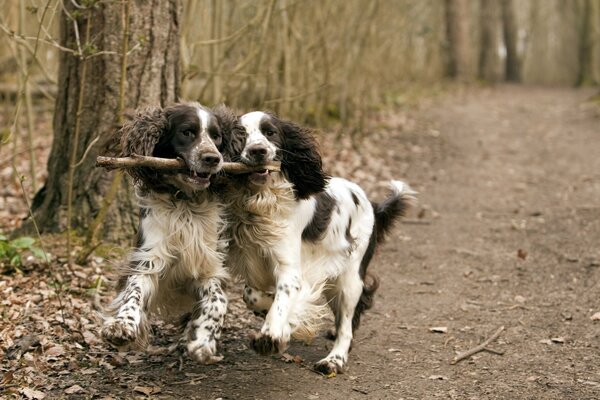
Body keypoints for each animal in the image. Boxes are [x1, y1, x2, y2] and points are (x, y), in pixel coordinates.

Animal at [101, 101, 244, 364]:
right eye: (187, 132)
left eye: (217, 136)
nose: (213, 158)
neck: (186, 203)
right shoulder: (149, 256)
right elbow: (133, 291)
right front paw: (122, 325)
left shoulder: (209, 265)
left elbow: (218, 301)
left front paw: (204, 341)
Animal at [225, 111, 418, 374]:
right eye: (240, 135)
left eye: (270, 132)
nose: (258, 151)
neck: (262, 201)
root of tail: (372, 204)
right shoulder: (256, 261)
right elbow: (251, 294)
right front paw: (273, 313)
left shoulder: (289, 267)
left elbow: (283, 301)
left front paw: (271, 335)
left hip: (350, 279)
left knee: (347, 325)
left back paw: (333, 360)